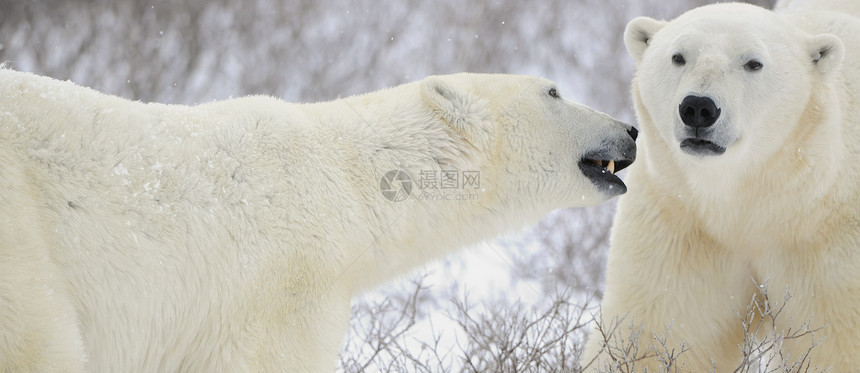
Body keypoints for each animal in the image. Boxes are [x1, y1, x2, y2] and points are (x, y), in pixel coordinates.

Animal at [584, 2, 860, 370]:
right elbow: (658, 326)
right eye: (679, 56)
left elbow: (836, 341)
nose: (698, 108)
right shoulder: (684, 223)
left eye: (753, 62)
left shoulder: (825, 237)